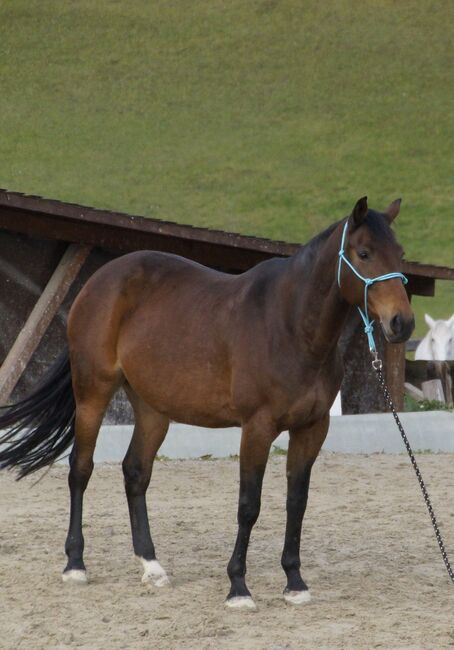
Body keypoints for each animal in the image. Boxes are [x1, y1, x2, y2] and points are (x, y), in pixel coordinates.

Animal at [0, 196, 414, 608]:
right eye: (364, 253)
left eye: (400, 253)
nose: (402, 323)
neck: (290, 326)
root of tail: (97, 282)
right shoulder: (257, 427)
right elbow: (249, 505)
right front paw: (238, 587)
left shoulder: (312, 428)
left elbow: (297, 503)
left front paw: (294, 582)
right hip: (92, 395)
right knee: (80, 469)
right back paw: (75, 564)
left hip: (152, 409)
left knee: (135, 472)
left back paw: (151, 566)